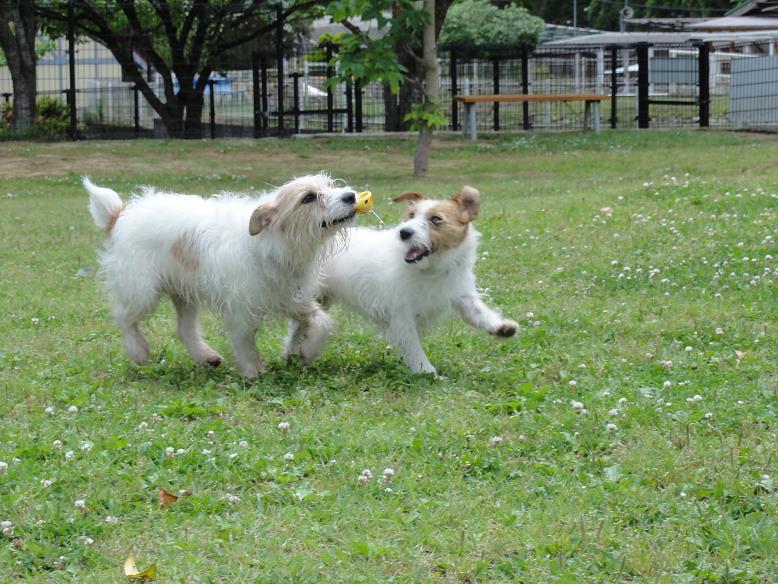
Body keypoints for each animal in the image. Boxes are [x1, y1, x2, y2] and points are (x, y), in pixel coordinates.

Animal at [86, 173, 360, 376]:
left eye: (330, 185)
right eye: (308, 198)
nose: (351, 196)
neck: (273, 243)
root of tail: (120, 214)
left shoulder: (292, 298)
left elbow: (322, 321)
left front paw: (309, 350)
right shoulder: (240, 308)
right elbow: (245, 341)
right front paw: (254, 372)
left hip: (184, 293)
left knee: (184, 329)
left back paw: (205, 357)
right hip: (141, 290)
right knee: (124, 317)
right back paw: (138, 351)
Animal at [292, 188, 516, 378]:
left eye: (435, 219)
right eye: (411, 215)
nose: (404, 233)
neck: (431, 269)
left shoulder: (461, 294)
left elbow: (478, 314)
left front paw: (501, 327)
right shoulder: (402, 317)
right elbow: (414, 348)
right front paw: (427, 372)